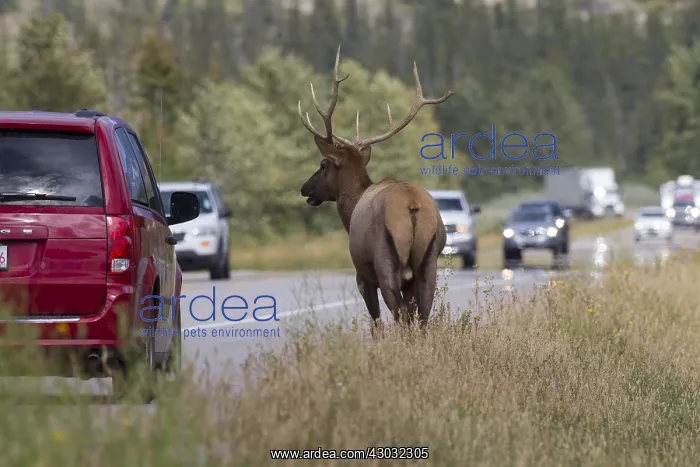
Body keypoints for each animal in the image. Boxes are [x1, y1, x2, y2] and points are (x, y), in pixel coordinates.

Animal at [298, 44, 454, 334]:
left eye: (323, 165)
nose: (304, 188)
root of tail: (411, 206)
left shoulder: (362, 274)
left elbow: (376, 321)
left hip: (384, 259)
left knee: (401, 314)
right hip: (430, 260)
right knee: (423, 315)